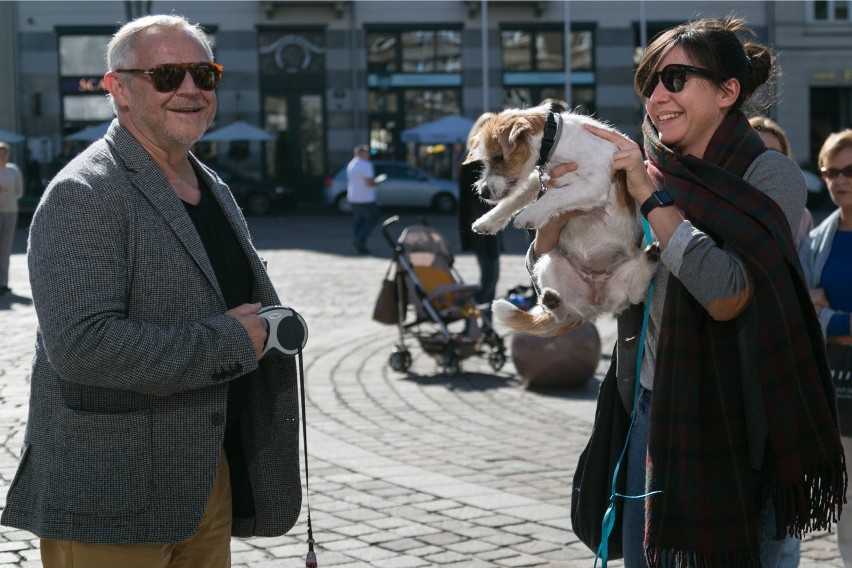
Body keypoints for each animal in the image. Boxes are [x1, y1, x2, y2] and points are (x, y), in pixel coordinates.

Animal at [466, 104, 660, 338]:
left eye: (498, 157)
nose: (483, 192)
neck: (556, 143)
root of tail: (597, 304)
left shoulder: (594, 184)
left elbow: (555, 196)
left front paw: (529, 215)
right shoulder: (538, 180)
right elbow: (513, 200)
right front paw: (487, 221)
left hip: (627, 276)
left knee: (636, 293)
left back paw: (651, 256)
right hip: (549, 262)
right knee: (562, 313)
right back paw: (553, 301)